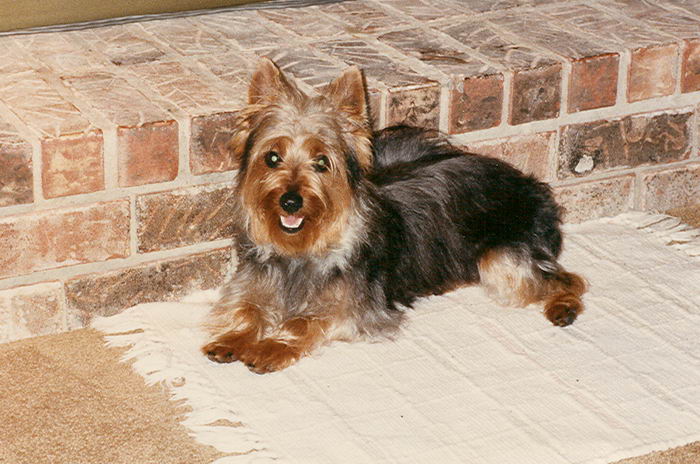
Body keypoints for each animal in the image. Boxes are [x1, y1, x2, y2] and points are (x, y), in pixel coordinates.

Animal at [201, 58, 584, 376]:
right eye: (272, 157)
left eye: (322, 162)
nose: (291, 201)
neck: (301, 250)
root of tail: (531, 184)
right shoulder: (251, 281)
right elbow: (246, 307)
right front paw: (233, 340)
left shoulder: (356, 311)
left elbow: (303, 322)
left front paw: (270, 347)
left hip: (502, 258)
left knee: (567, 279)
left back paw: (563, 306)